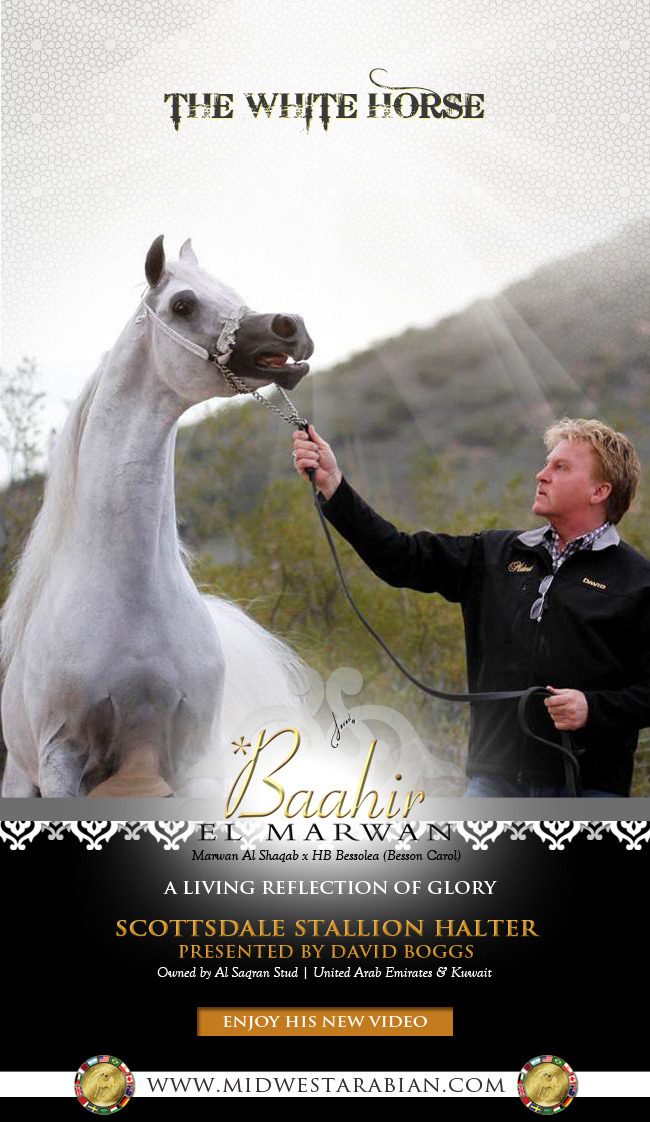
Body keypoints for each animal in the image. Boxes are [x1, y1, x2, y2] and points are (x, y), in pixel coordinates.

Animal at [0, 235, 314, 797]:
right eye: (182, 304)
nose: (291, 326)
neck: (132, 593)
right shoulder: (62, 760)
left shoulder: (194, 764)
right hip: (21, 779)